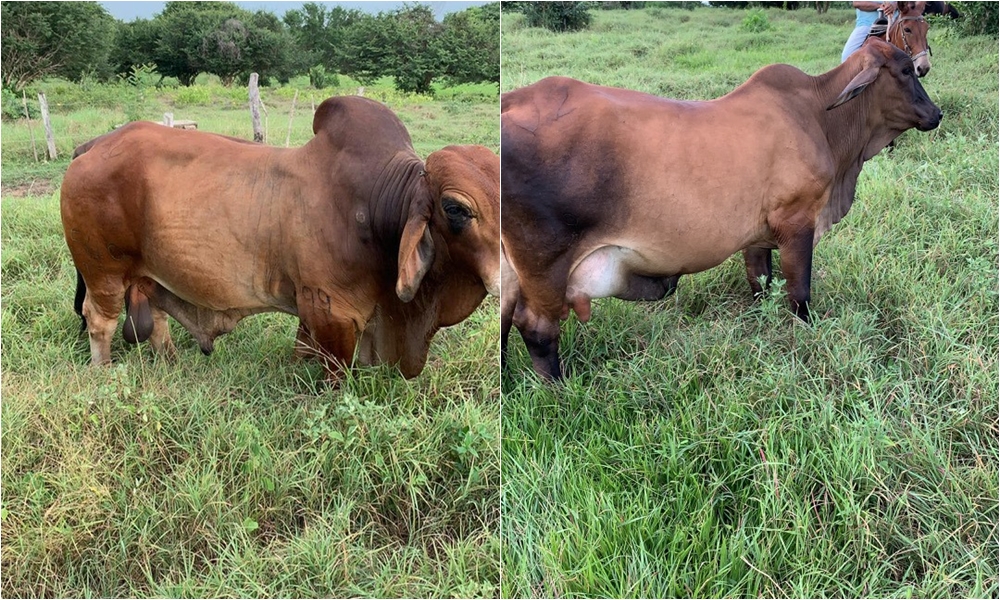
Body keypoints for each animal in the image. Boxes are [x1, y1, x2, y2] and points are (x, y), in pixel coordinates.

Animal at [504, 37, 940, 380]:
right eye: (905, 70)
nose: (936, 114)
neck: (821, 117)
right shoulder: (797, 223)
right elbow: (799, 294)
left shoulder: (758, 237)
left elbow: (760, 284)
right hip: (546, 266)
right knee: (537, 328)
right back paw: (558, 390)